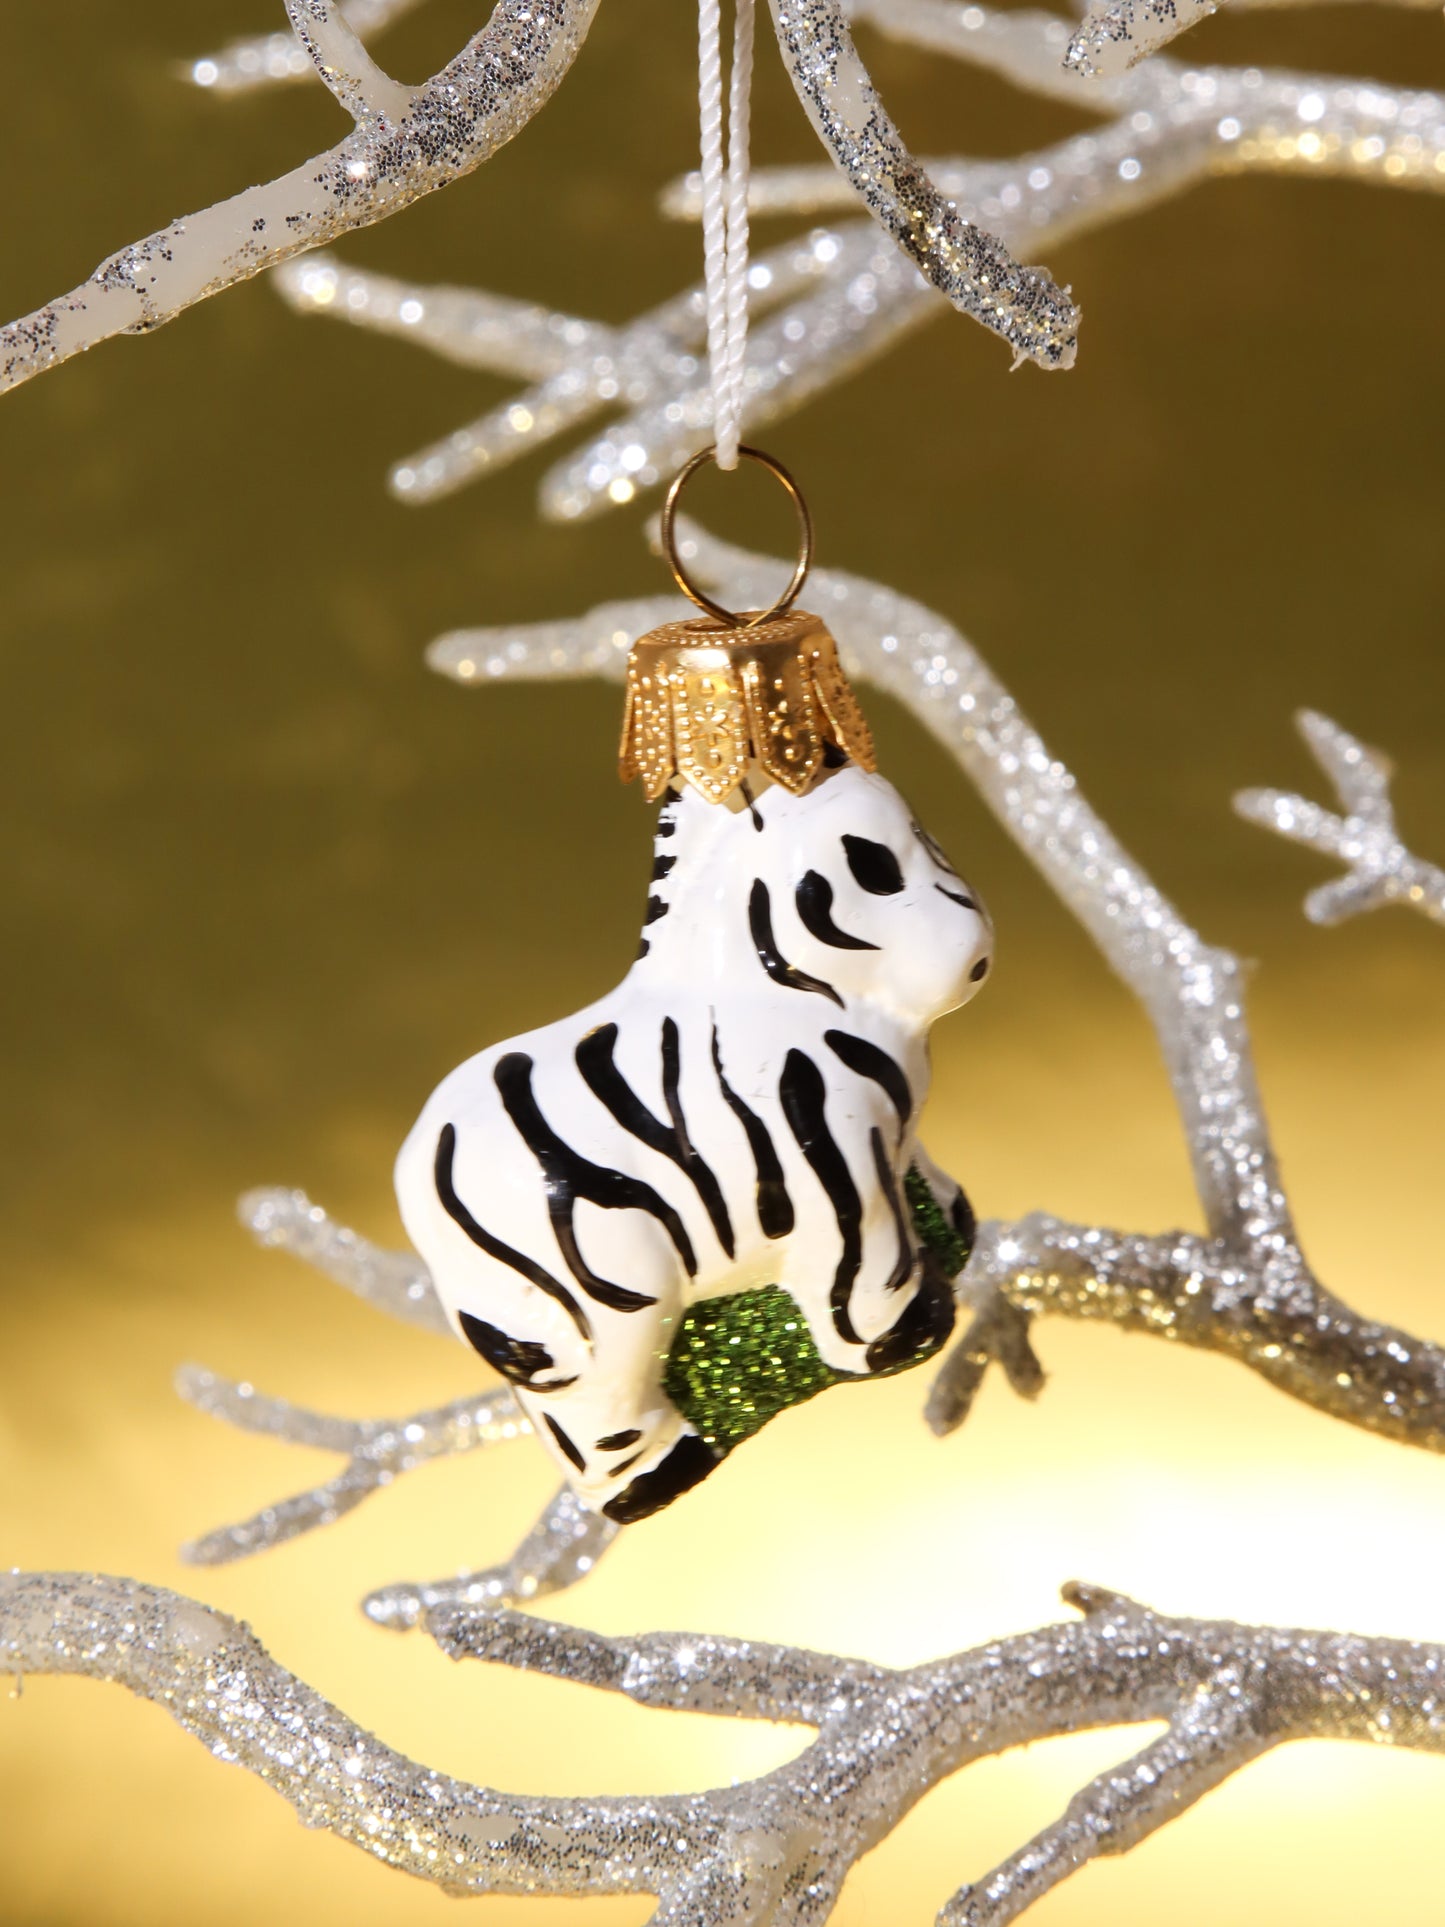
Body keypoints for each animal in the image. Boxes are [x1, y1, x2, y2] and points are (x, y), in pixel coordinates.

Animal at [395, 756, 992, 1524]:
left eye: (927, 836)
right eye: (874, 867)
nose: (976, 953)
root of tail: (419, 1169)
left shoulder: (896, 1136)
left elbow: (923, 1185)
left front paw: (954, 1227)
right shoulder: (830, 1151)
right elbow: (863, 1259)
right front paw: (902, 1335)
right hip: (605, 1304)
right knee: (598, 1416)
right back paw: (663, 1473)